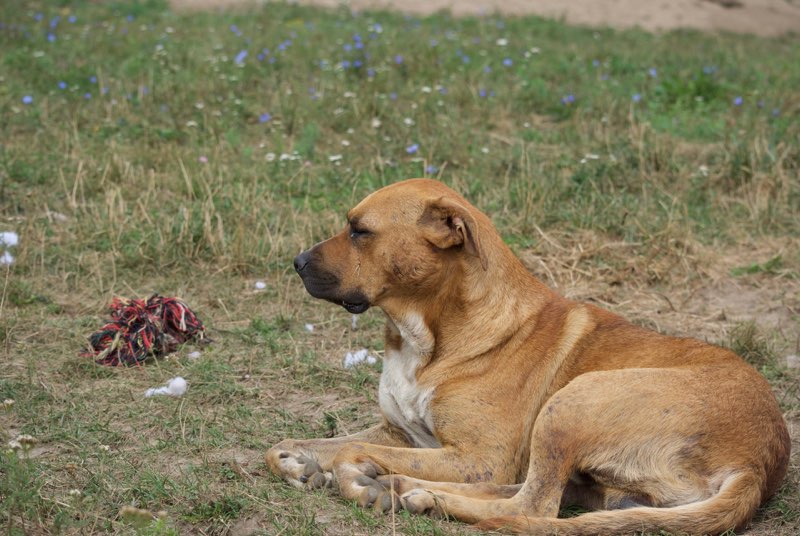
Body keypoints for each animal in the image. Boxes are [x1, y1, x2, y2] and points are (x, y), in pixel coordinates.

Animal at [266, 179, 792, 532]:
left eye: (360, 231)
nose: (295, 263)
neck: (427, 337)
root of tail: (761, 460)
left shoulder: (479, 457)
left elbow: (350, 451)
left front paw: (353, 475)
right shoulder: (401, 433)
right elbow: (291, 447)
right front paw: (299, 461)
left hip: (573, 402)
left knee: (530, 506)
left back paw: (409, 491)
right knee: (527, 494)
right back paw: (404, 489)